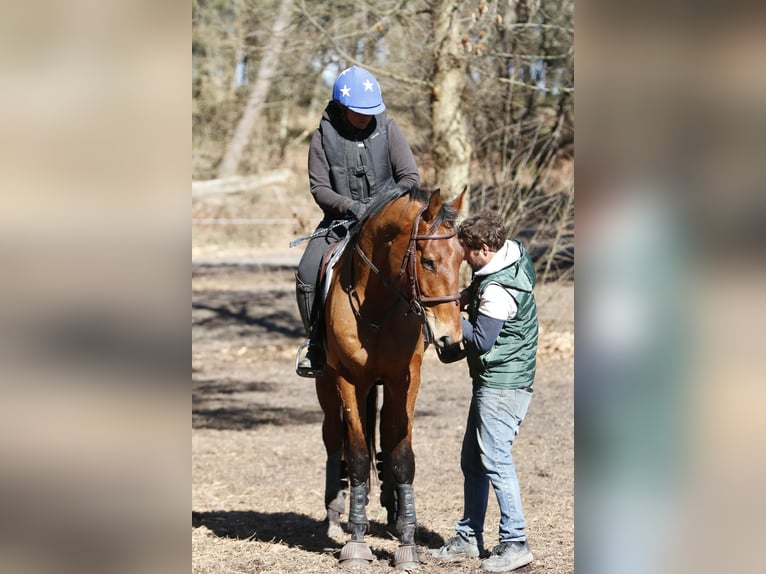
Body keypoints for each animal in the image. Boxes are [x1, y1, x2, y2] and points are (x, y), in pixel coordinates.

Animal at [315, 185, 466, 569]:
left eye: (462, 259)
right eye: (428, 261)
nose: (453, 341)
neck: (377, 309)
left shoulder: (404, 380)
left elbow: (401, 456)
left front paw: (407, 540)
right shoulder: (348, 381)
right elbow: (356, 456)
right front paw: (356, 540)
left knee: (382, 436)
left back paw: (391, 506)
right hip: (326, 386)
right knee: (333, 438)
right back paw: (336, 512)